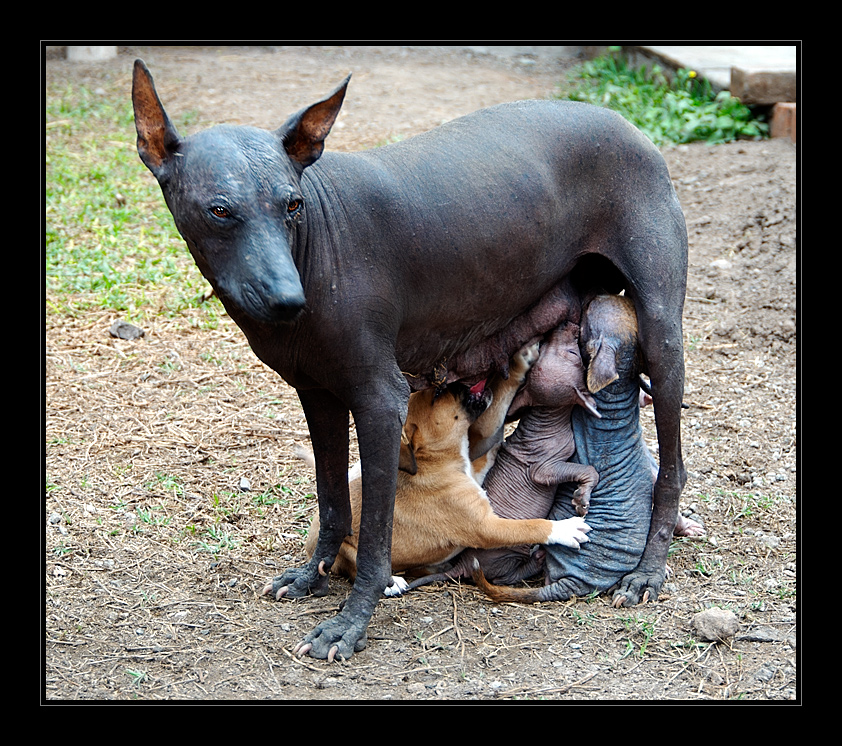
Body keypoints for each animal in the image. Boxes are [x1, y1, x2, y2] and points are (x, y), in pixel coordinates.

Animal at [304, 346, 592, 596]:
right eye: (437, 396)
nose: (455, 379)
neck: (438, 461)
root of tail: (309, 547)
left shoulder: (475, 475)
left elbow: (486, 449)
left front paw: (522, 360)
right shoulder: (485, 527)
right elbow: (529, 526)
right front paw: (564, 529)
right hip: (346, 549)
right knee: (356, 568)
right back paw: (391, 582)